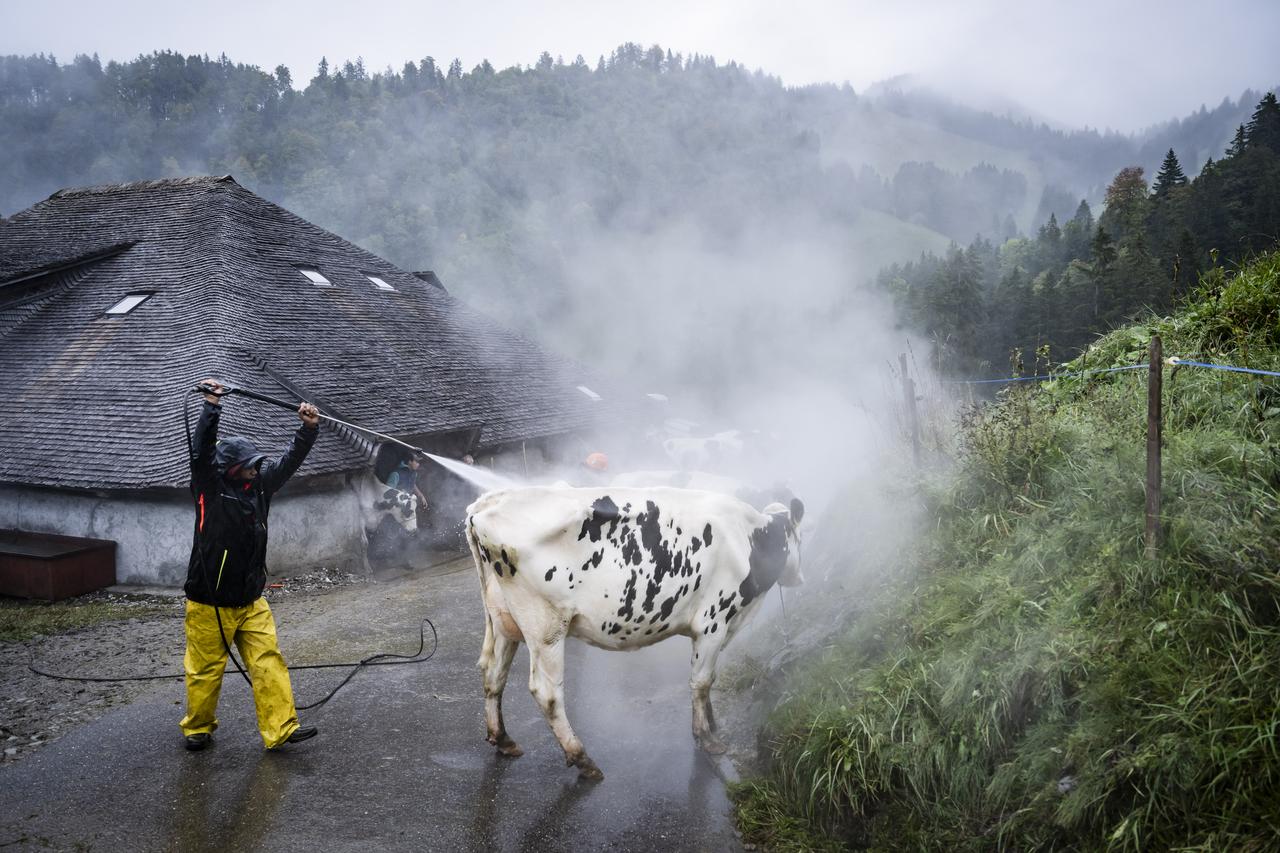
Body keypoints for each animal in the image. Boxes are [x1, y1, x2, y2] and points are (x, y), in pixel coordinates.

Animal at [465, 484, 803, 778]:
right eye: (798, 536)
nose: (798, 578)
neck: (748, 538)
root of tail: (485, 505)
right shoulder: (713, 622)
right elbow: (701, 681)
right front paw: (707, 738)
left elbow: (707, 680)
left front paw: (712, 722)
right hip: (545, 627)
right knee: (547, 693)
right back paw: (582, 758)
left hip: (503, 621)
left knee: (493, 673)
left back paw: (503, 738)